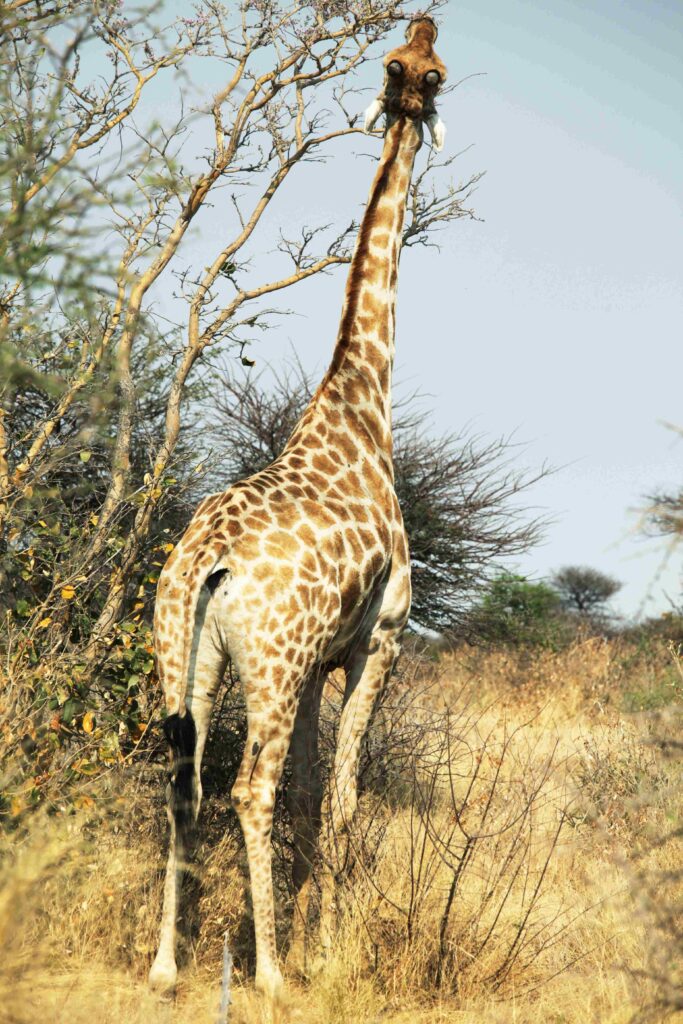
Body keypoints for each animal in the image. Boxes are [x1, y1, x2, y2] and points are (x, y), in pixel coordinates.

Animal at [149, 14, 448, 991]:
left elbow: (318, 799)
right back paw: (269, 972)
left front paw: (319, 939)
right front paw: (327, 952)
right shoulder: (376, 640)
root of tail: (208, 563)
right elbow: (345, 798)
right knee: (249, 788)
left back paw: (164, 968)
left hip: (186, 655)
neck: (359, 405)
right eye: (429, 68)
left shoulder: (320, 662)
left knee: (182, 782)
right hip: (270, 668)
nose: (423, 23)